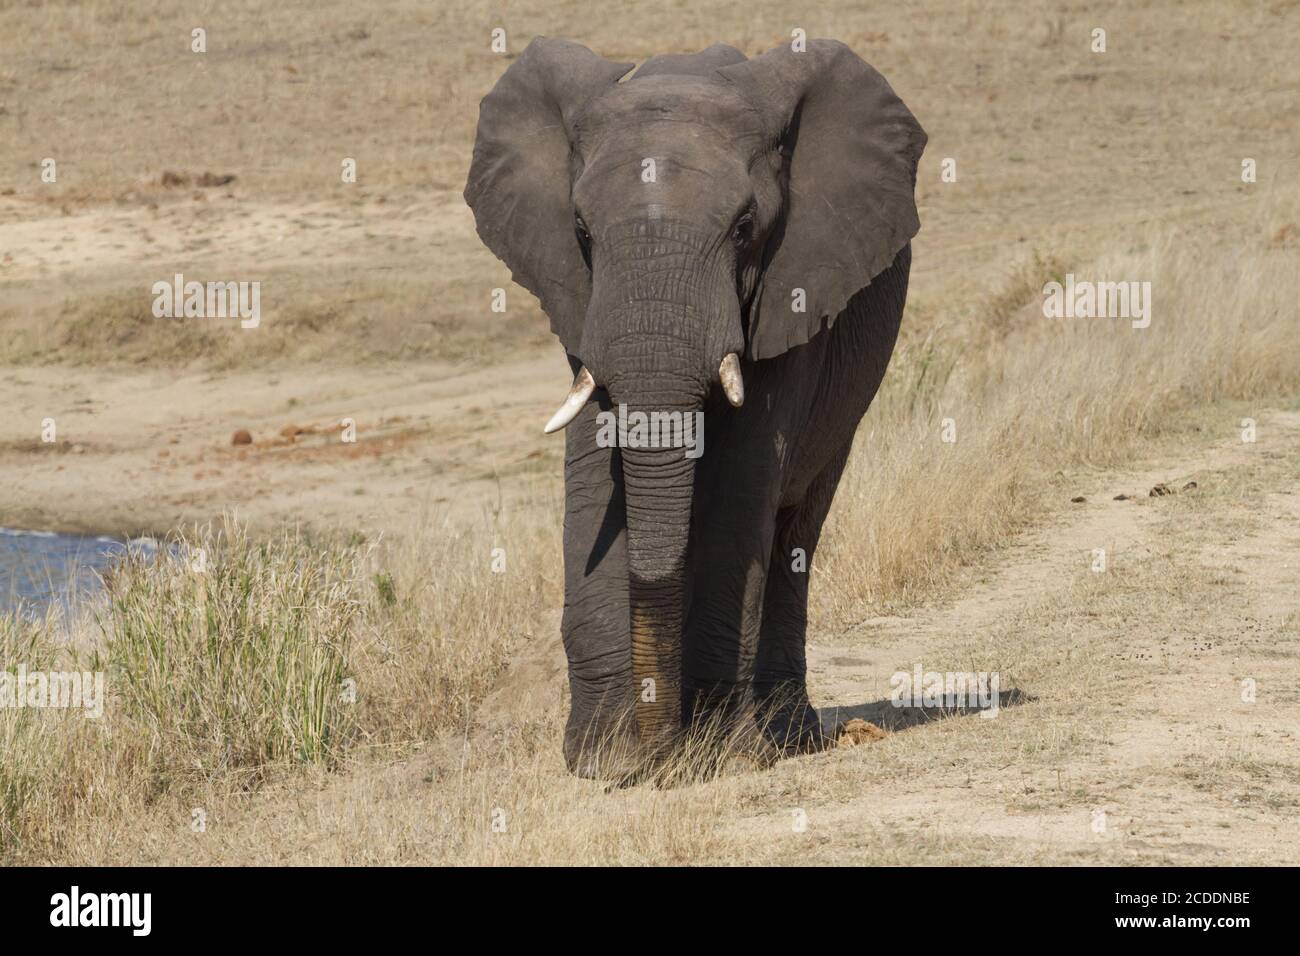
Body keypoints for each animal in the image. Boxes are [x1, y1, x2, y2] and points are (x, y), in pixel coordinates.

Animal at [467, 37, 925, 780]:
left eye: (744, 227)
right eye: (580, 229)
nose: (659, 756)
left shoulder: (791, 293)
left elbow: (742, 488)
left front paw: (716, 758)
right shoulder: (581, 304)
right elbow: (594, 479)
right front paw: (605, 762)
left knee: (797, 525)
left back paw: (785, 736)